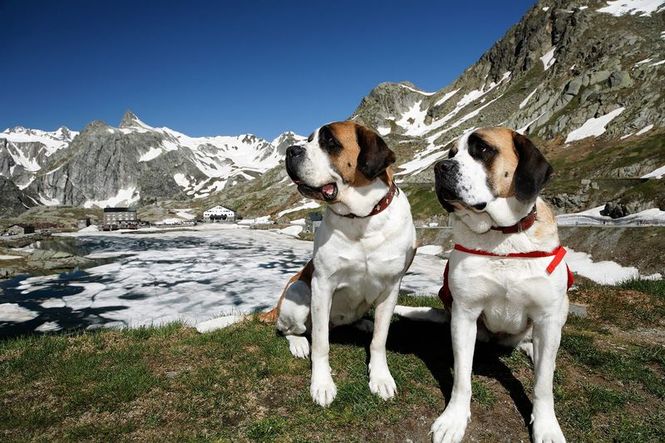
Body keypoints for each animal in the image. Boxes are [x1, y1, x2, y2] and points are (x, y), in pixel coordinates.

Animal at [264, 121, 416, 410]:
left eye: (330, 142)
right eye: (309, 140)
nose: (291, 151)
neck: (362, 219)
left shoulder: (391, 288)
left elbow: (379, 340)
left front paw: (381, 378)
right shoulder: (322, 284)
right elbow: (321, 344)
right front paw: (322, 384)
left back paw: (363, 324)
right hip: (299, 292)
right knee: (289, 329)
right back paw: (299, 344)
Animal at [430, 127, 572, 443]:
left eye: (483, 149)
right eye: (451, 153)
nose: (439, 167)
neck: (502, 236)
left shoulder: (547, 316)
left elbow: (543, 385)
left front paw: (546, 426)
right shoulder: (465, 314)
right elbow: (462, 377)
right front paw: (454, 419)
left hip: (561, 308)